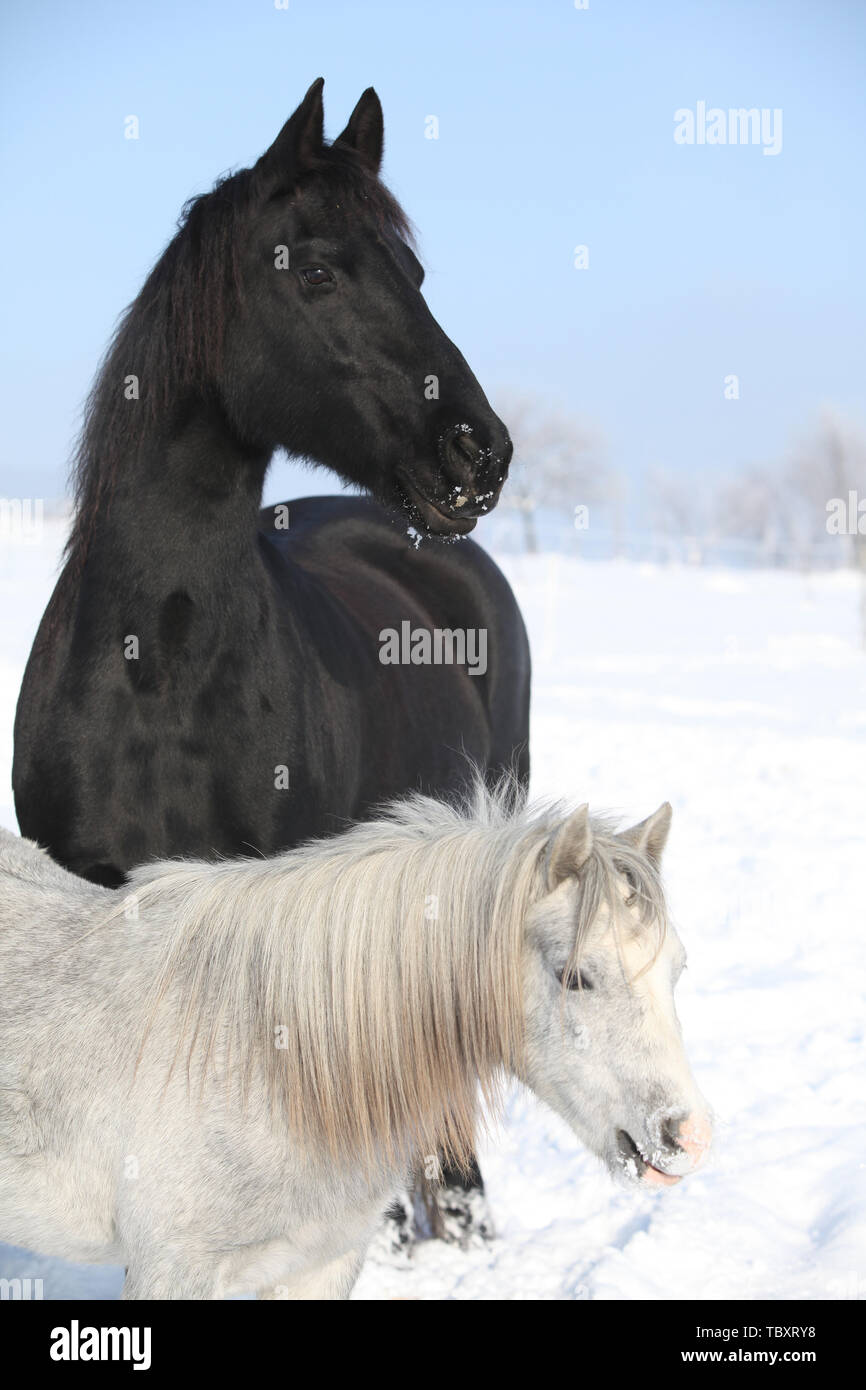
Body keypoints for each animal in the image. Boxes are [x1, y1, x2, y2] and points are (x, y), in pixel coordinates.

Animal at [0, 784, 711, 1300]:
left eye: (678, 969)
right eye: (574, 976)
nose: (689, 1135)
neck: (263, 1056)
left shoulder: (320, 1264)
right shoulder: (173, 1273)